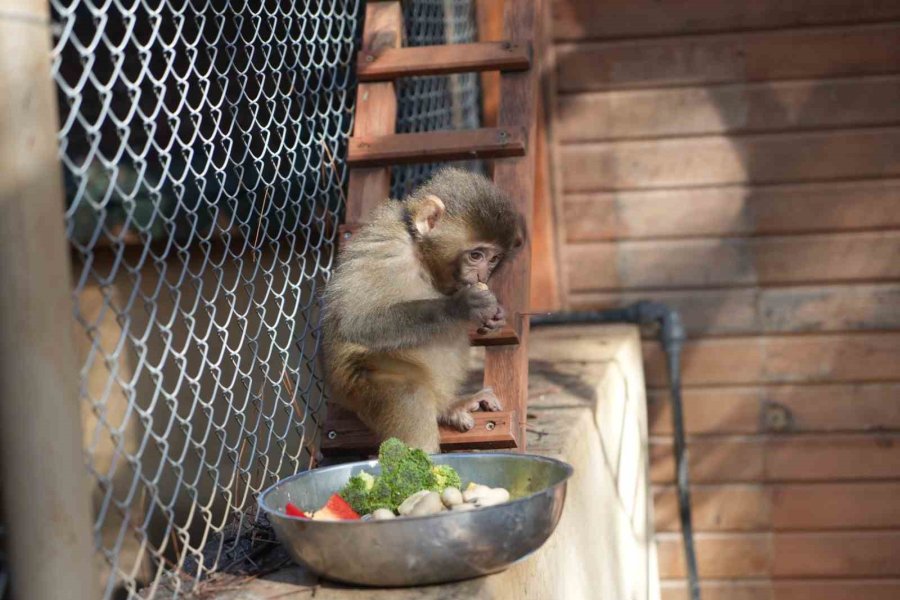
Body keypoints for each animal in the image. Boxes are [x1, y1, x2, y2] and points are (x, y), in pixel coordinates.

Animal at [322, 166, 524, 452]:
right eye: (476, 255)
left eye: (493, 258)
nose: (483, 274)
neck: (420, 256)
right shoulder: (387, 249)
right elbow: (356, 322)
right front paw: (460, 306)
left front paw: (496, 317)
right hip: (358, 388)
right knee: (409, 392)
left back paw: (448, 407)